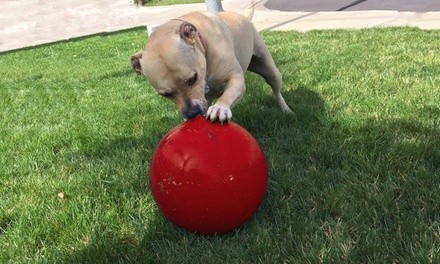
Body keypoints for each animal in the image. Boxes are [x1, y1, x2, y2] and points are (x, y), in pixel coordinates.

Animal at [131, 9, 292, 122]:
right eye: (166, 94)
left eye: (193, 78)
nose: (192, 113)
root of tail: (244, 17)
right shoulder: (203, 99)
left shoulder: (236, 79)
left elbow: (229, 93)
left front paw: (220, 108)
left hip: (270, 71)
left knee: (276, 90)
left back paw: (286, 109)